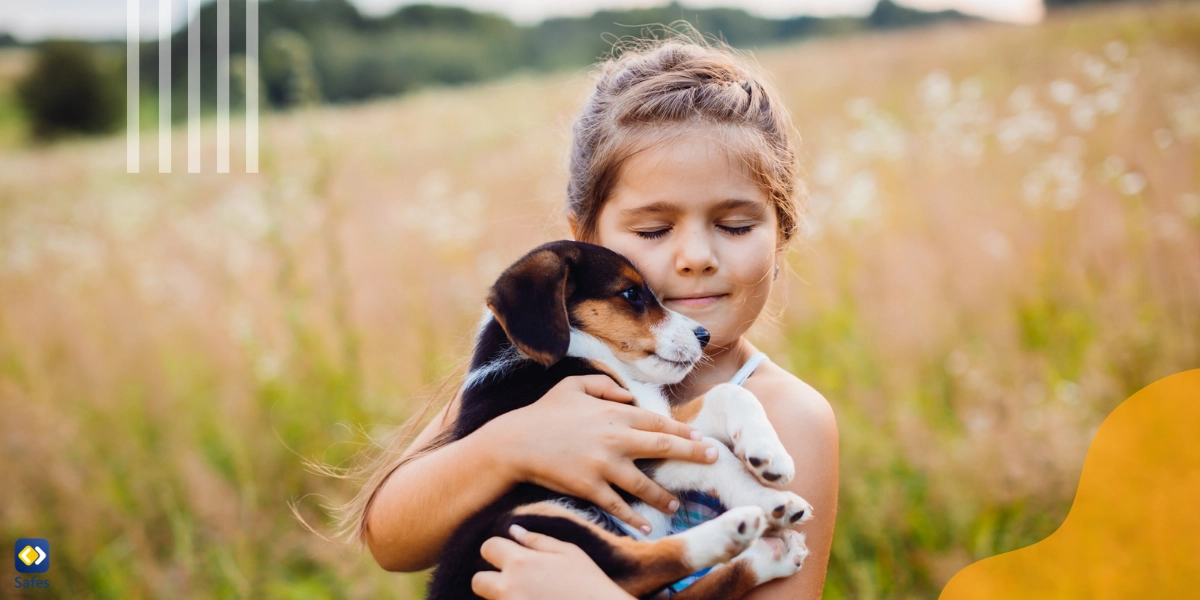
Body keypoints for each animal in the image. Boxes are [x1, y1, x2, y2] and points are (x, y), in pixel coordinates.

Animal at [427, 240, 811, 600]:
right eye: (630, 293)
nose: (705, 336)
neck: (584, 353)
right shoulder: (621, 452)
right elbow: (715, 457)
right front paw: (771, 500)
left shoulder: (658, 420)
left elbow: (728, 394)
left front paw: (769, 457)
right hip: (526, 519)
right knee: (635, 565)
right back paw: (736, 530)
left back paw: (771, 556)